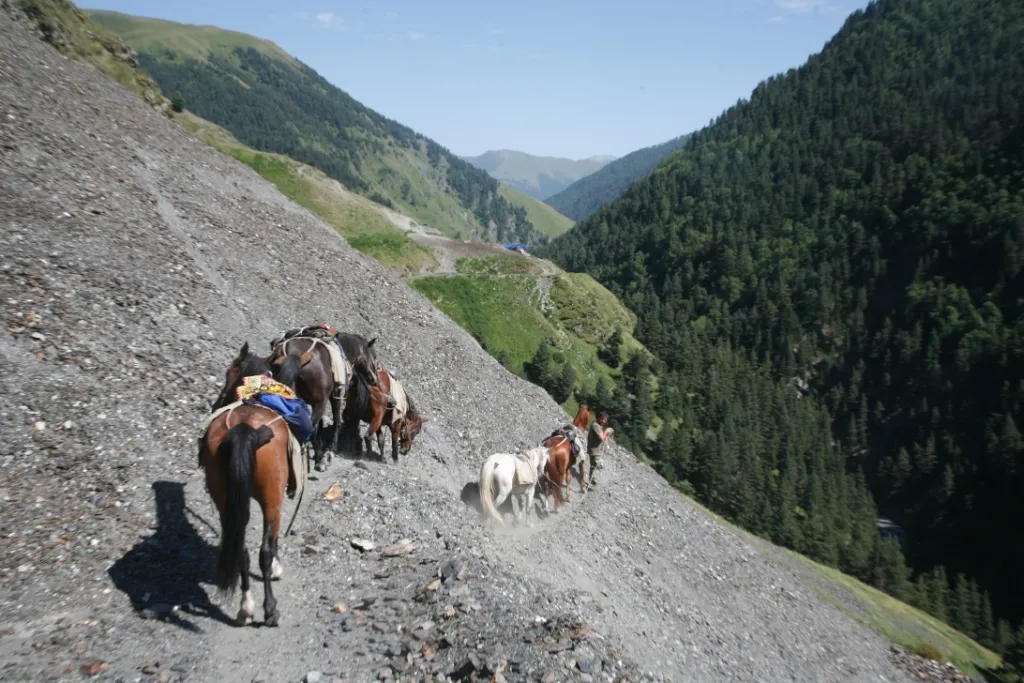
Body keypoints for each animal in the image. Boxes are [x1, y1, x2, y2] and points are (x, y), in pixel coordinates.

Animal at [198, 350, 311, 626]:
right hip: (271, 498)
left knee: (242, 550)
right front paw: (277, 569)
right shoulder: (277, 500)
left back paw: (245, 608)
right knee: (264, 552)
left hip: (224, 499)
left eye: (230, 371)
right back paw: (269, 610)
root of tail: (243, 429)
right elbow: (273, 540)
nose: (215, 404)